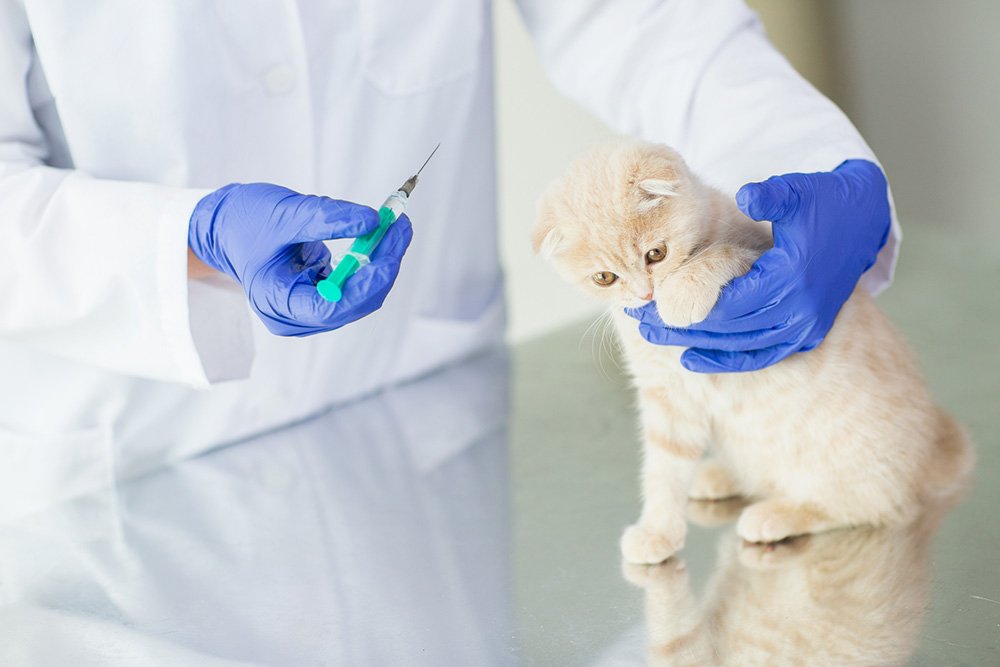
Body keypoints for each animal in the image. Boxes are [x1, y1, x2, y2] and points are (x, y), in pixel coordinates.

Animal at [536, 141, 972, 564]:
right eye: (604, 278)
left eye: (655, 254)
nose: (645, 295)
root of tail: (929, 454)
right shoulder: (666, 395)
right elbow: (664, 467)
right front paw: (658, 530)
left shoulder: (761, 254)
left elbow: (722, 252)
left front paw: (682, 292)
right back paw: (719, 476)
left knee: (870, 506)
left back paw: (777, 514)